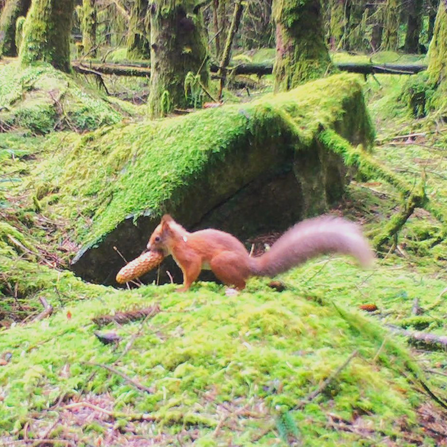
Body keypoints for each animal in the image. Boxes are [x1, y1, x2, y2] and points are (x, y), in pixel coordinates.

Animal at [146, 215, 374, 292]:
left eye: (156, 238)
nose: (147, 248)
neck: (180, 241)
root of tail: (248, 264)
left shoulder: (190, 257)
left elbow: (191, 272)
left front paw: (182, 289)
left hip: (221, 262)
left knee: (243, 284)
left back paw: (233, 290)